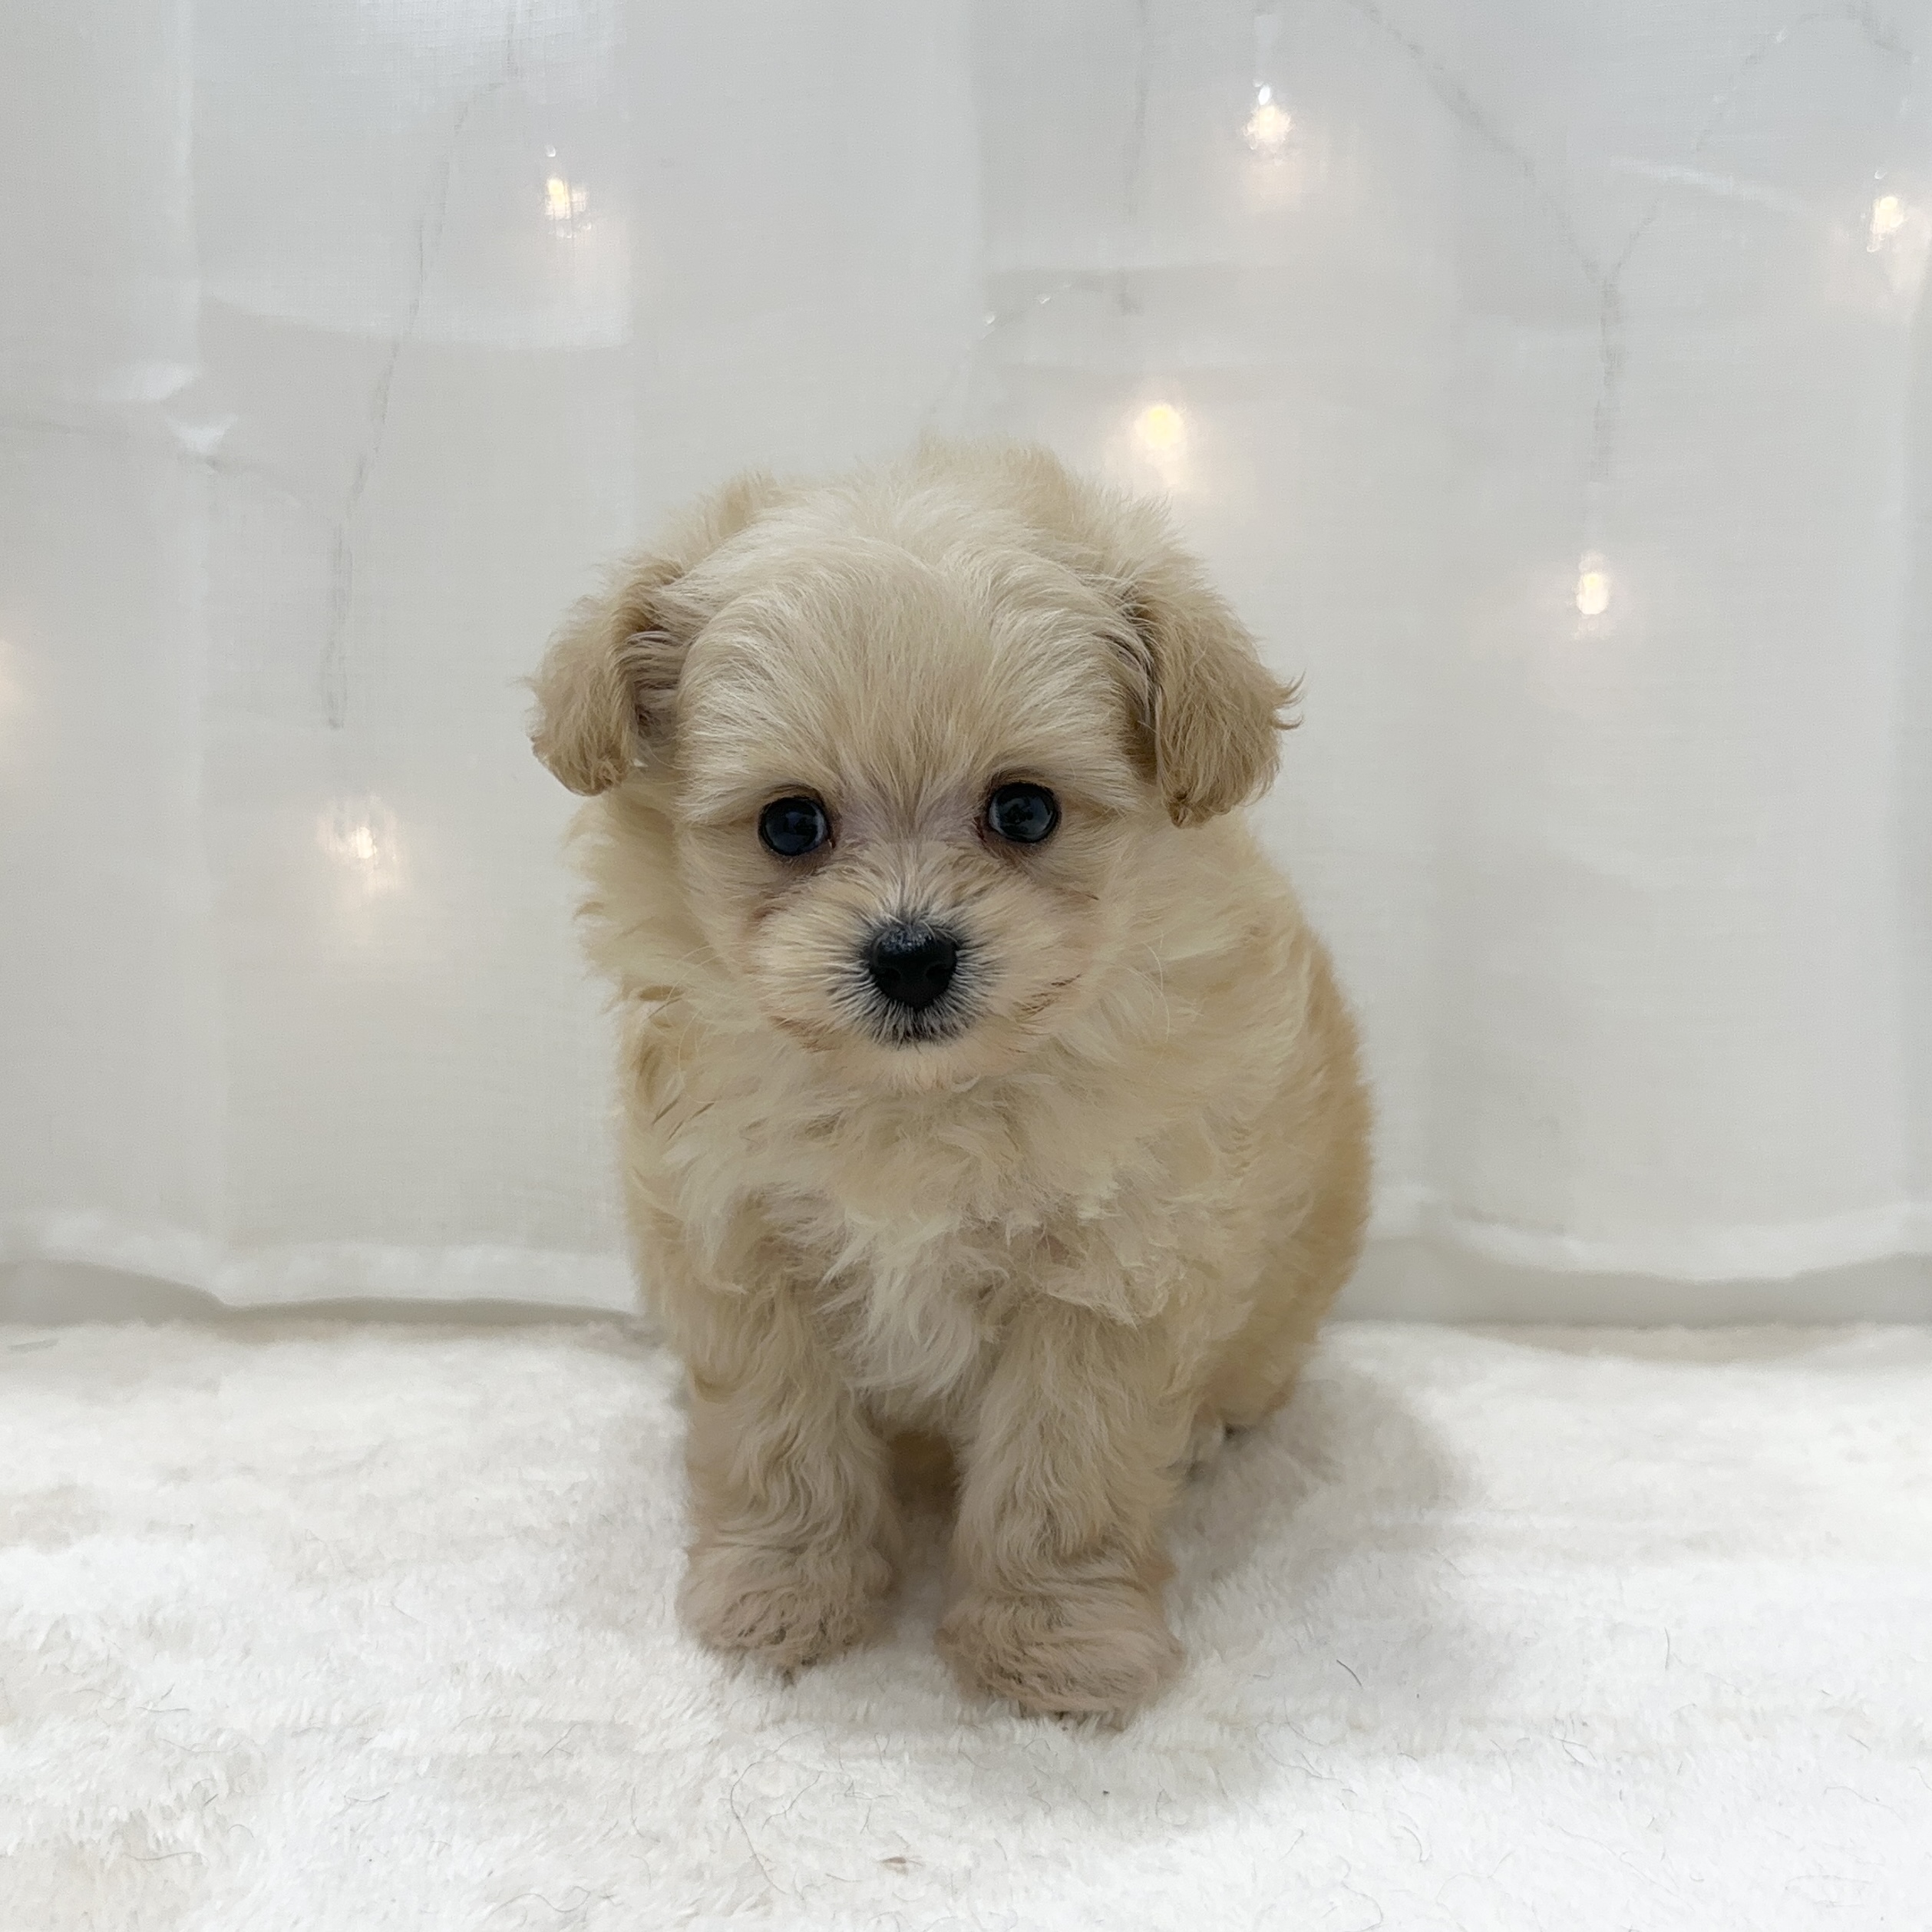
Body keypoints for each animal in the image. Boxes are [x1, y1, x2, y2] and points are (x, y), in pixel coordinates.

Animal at [529, 440, 1370, 1720]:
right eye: (790, 825)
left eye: (1023, 809)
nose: (912, 953)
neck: (921, 1101)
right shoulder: (742, 1245)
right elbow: (778, 1444)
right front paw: (784, 1598)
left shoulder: (1108, 1277)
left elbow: (1064, 1477)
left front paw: (1055, 1649)